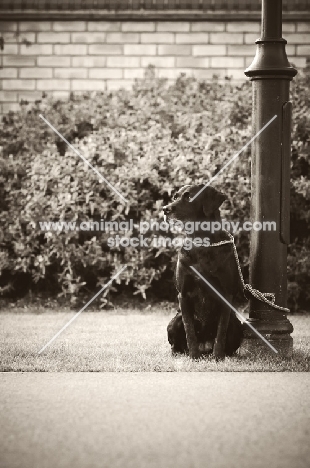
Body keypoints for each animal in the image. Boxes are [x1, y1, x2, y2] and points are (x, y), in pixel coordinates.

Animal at [165, 185, 245, 360]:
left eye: (189, 197)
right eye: (175, 197)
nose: (165, 209)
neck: (201, 243)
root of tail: (205, 347)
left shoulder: (226, 294)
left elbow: (221, 331)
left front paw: (218, 357)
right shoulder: (183, 294)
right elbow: (189, 330)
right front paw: (193, 356)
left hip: (237, 325)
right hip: (174, 321)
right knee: (177, 343)